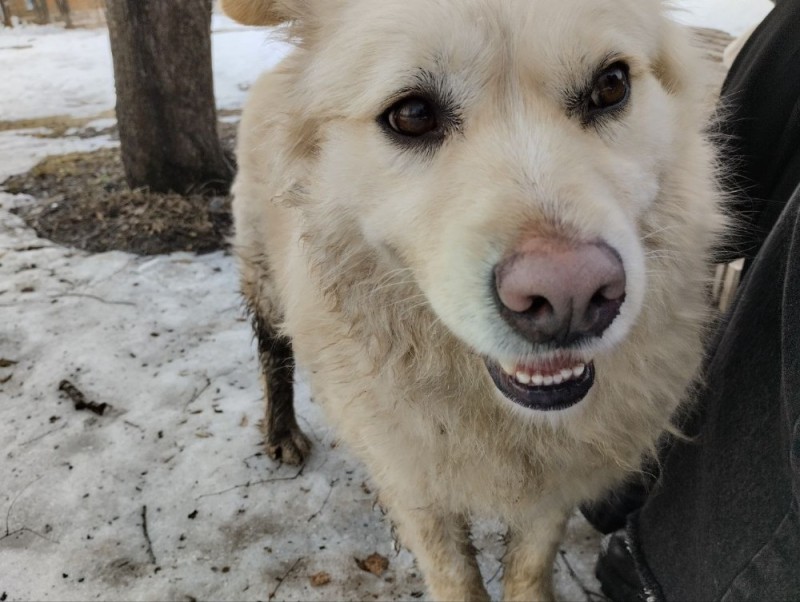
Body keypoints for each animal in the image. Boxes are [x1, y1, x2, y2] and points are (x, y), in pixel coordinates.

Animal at [220, 2, 724, 596]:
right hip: (262, 273)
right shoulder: (414, 486)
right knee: (272, 352)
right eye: (412, 114)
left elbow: (530, 562)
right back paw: (283, 432)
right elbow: (456, 575)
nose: (571, 294)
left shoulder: (556, 481)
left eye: (610, 85)